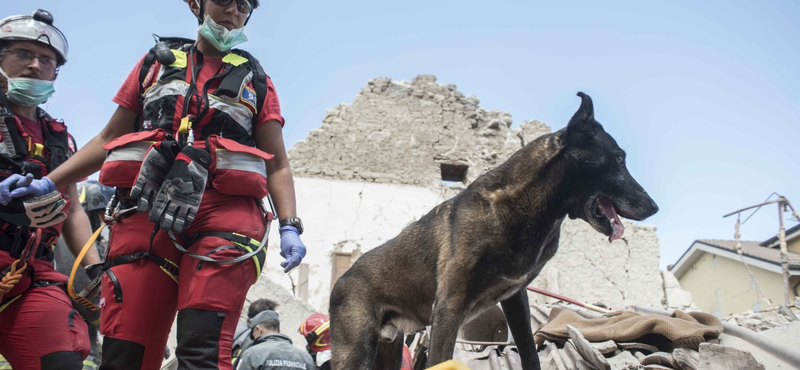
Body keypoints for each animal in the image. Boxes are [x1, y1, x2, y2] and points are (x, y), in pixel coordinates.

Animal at [328, 92, 660, 370]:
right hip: (356, 350)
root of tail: (342, 281)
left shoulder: (515, 299)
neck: (527, 205)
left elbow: (529, 352)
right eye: (619, 158)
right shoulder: (448, 308)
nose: (654, 207)